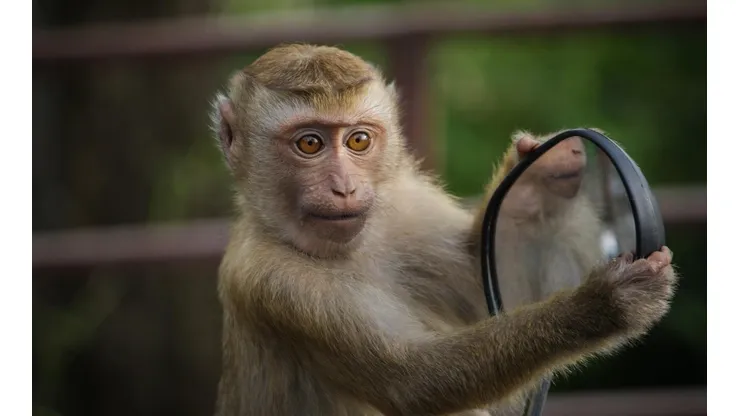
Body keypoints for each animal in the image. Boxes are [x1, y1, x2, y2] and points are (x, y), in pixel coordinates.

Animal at [210, 44, 677, 416]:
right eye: (309, 144)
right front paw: (600, 306)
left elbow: (484, 286)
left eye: (359, 140)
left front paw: (537, 177)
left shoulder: (407, 207)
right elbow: (414, 382)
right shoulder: (273, 282)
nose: (344, 187)